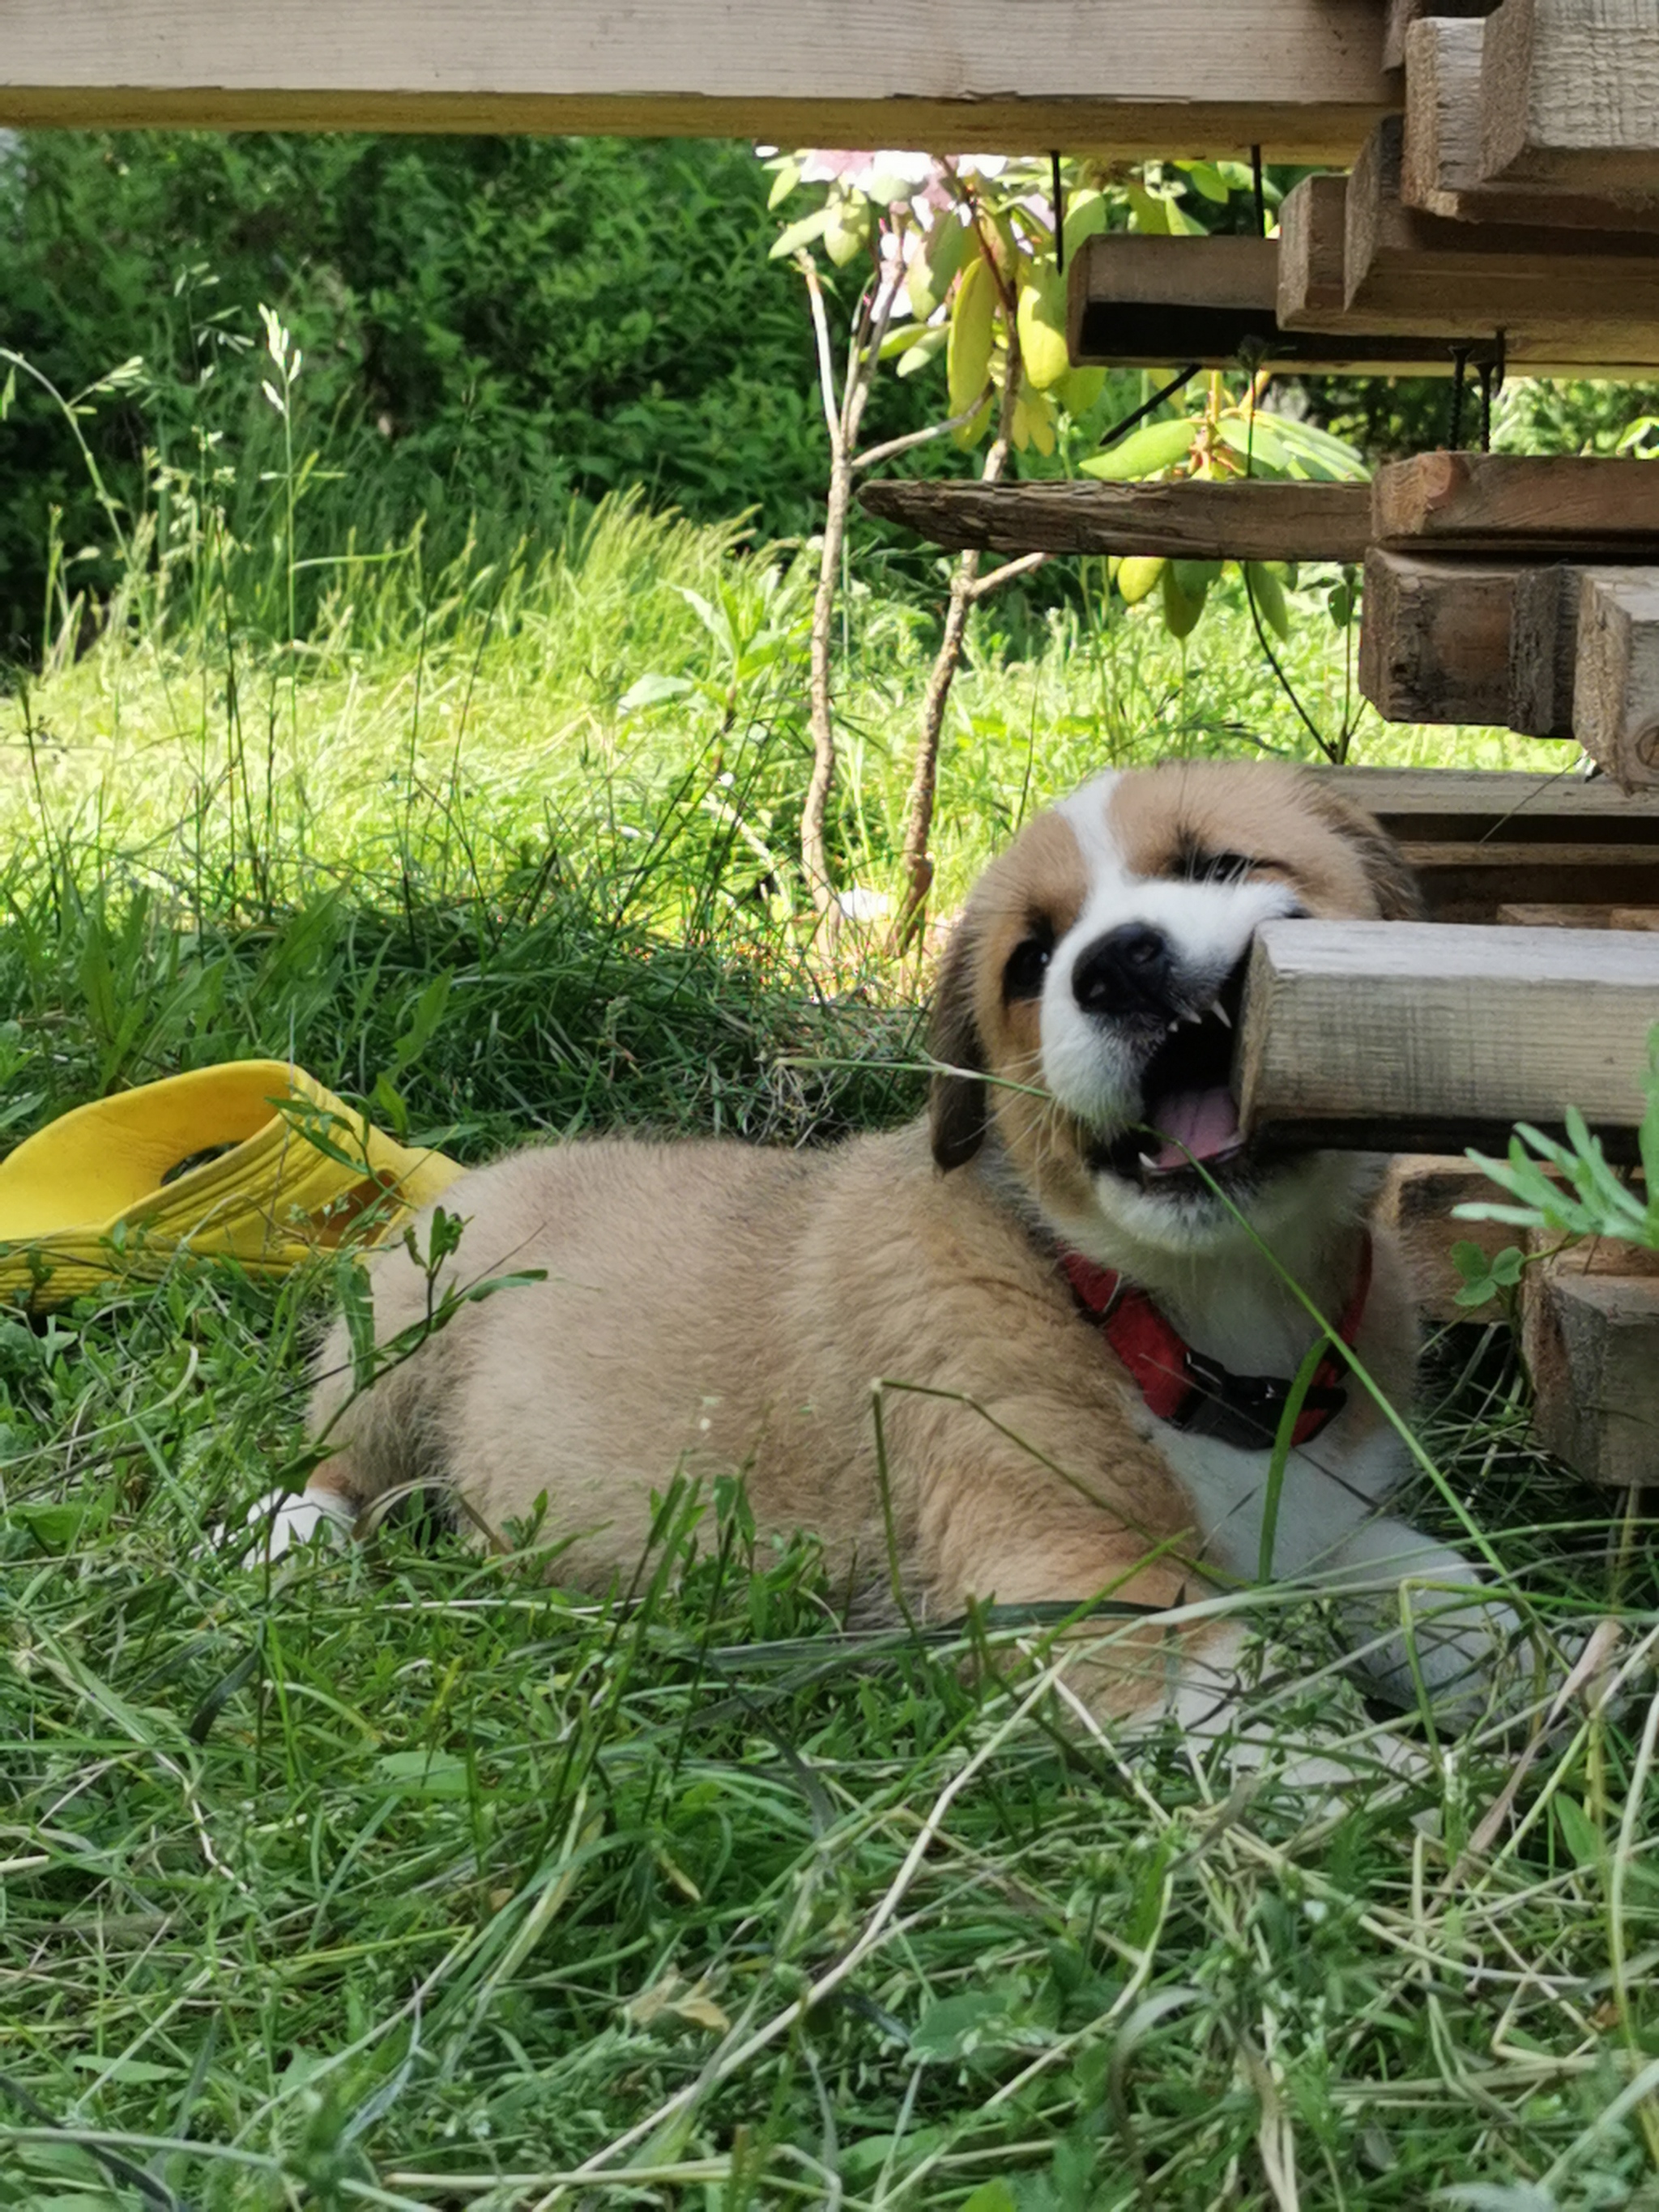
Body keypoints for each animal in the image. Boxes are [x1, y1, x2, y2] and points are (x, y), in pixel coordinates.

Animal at [296, 769, 1521, 1716]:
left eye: (1218, 865)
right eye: (1031, 962)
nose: (1113, 965)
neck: (1179, 1311)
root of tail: (471, 1180)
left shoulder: (1315, 1530)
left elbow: (1447, 1589)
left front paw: (1538, 1676)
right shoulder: (1078, 1581)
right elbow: (1283, 1723)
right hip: (398, 1352)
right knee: (330, 1468)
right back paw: (289, 1545)